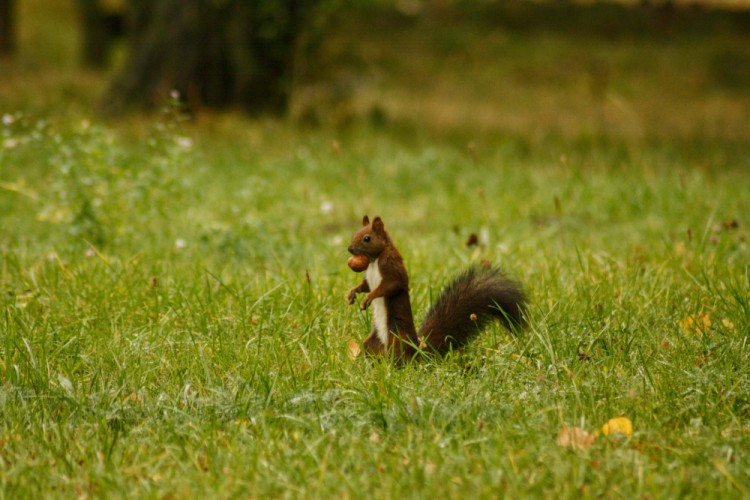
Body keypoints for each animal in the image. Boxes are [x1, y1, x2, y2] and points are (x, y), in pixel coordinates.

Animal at [348, 213, 528, 362]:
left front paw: (369, 297)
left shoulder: (392, 267)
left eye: (367, 238)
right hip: (373, 340)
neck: (374, 260)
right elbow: (365, 285)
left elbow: (391, 285)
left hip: (397, 339)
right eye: (354, 234)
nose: (350, 249)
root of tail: (418, 350)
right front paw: (352, 293)